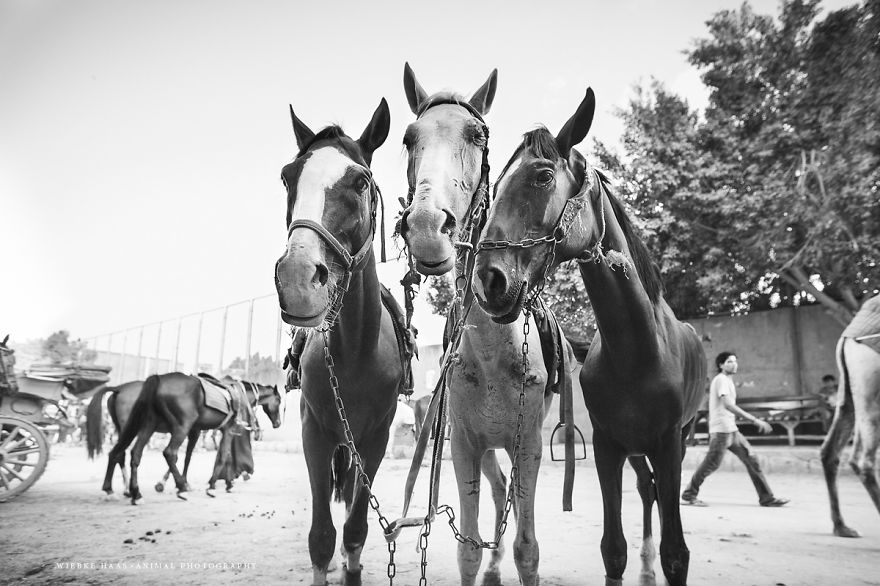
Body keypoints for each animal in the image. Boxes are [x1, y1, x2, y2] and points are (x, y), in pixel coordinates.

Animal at [103, 372, 283, 503]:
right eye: (279, 401)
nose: (278, 423)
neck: (238, 395)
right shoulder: (226, 430)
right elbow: (224, 456)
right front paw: (211, 485)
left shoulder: (196, 430)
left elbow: (190, 456)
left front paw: (226, 483)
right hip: (180, 426)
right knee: (168, 453)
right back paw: (177, 489)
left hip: (148, 425)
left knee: (131, 453)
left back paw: (133, 492)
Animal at [273, 98, 404, 586]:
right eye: (287, 176)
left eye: (360, 181)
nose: (296, 279)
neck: (355, 354)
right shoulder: (314, 432)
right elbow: (322, 537)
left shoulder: (377, 438)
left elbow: (354, 528)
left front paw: (354, 567)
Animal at [399, 63, 573, 586]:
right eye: (408, 138)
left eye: (478, 135)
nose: (426, 228)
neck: (496, 350)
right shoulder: (465, 446)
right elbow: (469, 550)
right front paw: (484, 562)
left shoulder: (528, 445)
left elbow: (528, 548)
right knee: (498, 493)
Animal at [472, 88, 706, 586]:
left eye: (543, 176)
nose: (489, 281)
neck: (636, 350)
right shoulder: (606, 446)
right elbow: (612, 550)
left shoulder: (668, 445)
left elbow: (677, 553)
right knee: (646, 490)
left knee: (655, 495)